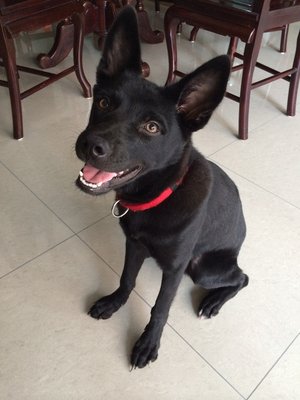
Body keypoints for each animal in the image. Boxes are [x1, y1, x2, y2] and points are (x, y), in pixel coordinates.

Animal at [75, 6, 248, 368]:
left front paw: (147, 343)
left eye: (152, 127)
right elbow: (127, 278)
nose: (89, 145)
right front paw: (114, 302)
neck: (159, 196)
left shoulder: (175, 268)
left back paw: (213, 302)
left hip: (203, 269)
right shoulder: (134, 245)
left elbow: (161, 307)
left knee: (243, 277)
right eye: (104, 103)